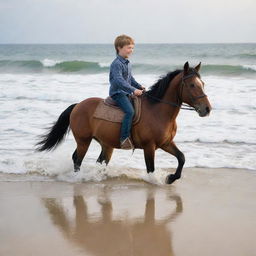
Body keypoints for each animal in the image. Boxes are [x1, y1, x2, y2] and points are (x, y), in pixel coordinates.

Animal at [36, 61, 212, 183]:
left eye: (202, 84)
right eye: (192, 85)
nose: (207, 109)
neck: (158, 111)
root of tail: (77, 105)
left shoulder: (166, 143)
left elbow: (182, 158)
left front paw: (171, 178)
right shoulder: (149, 147)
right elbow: (151, 169)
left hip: (106, 145)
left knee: (99, 161)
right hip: (83, 141)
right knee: (77, 159)